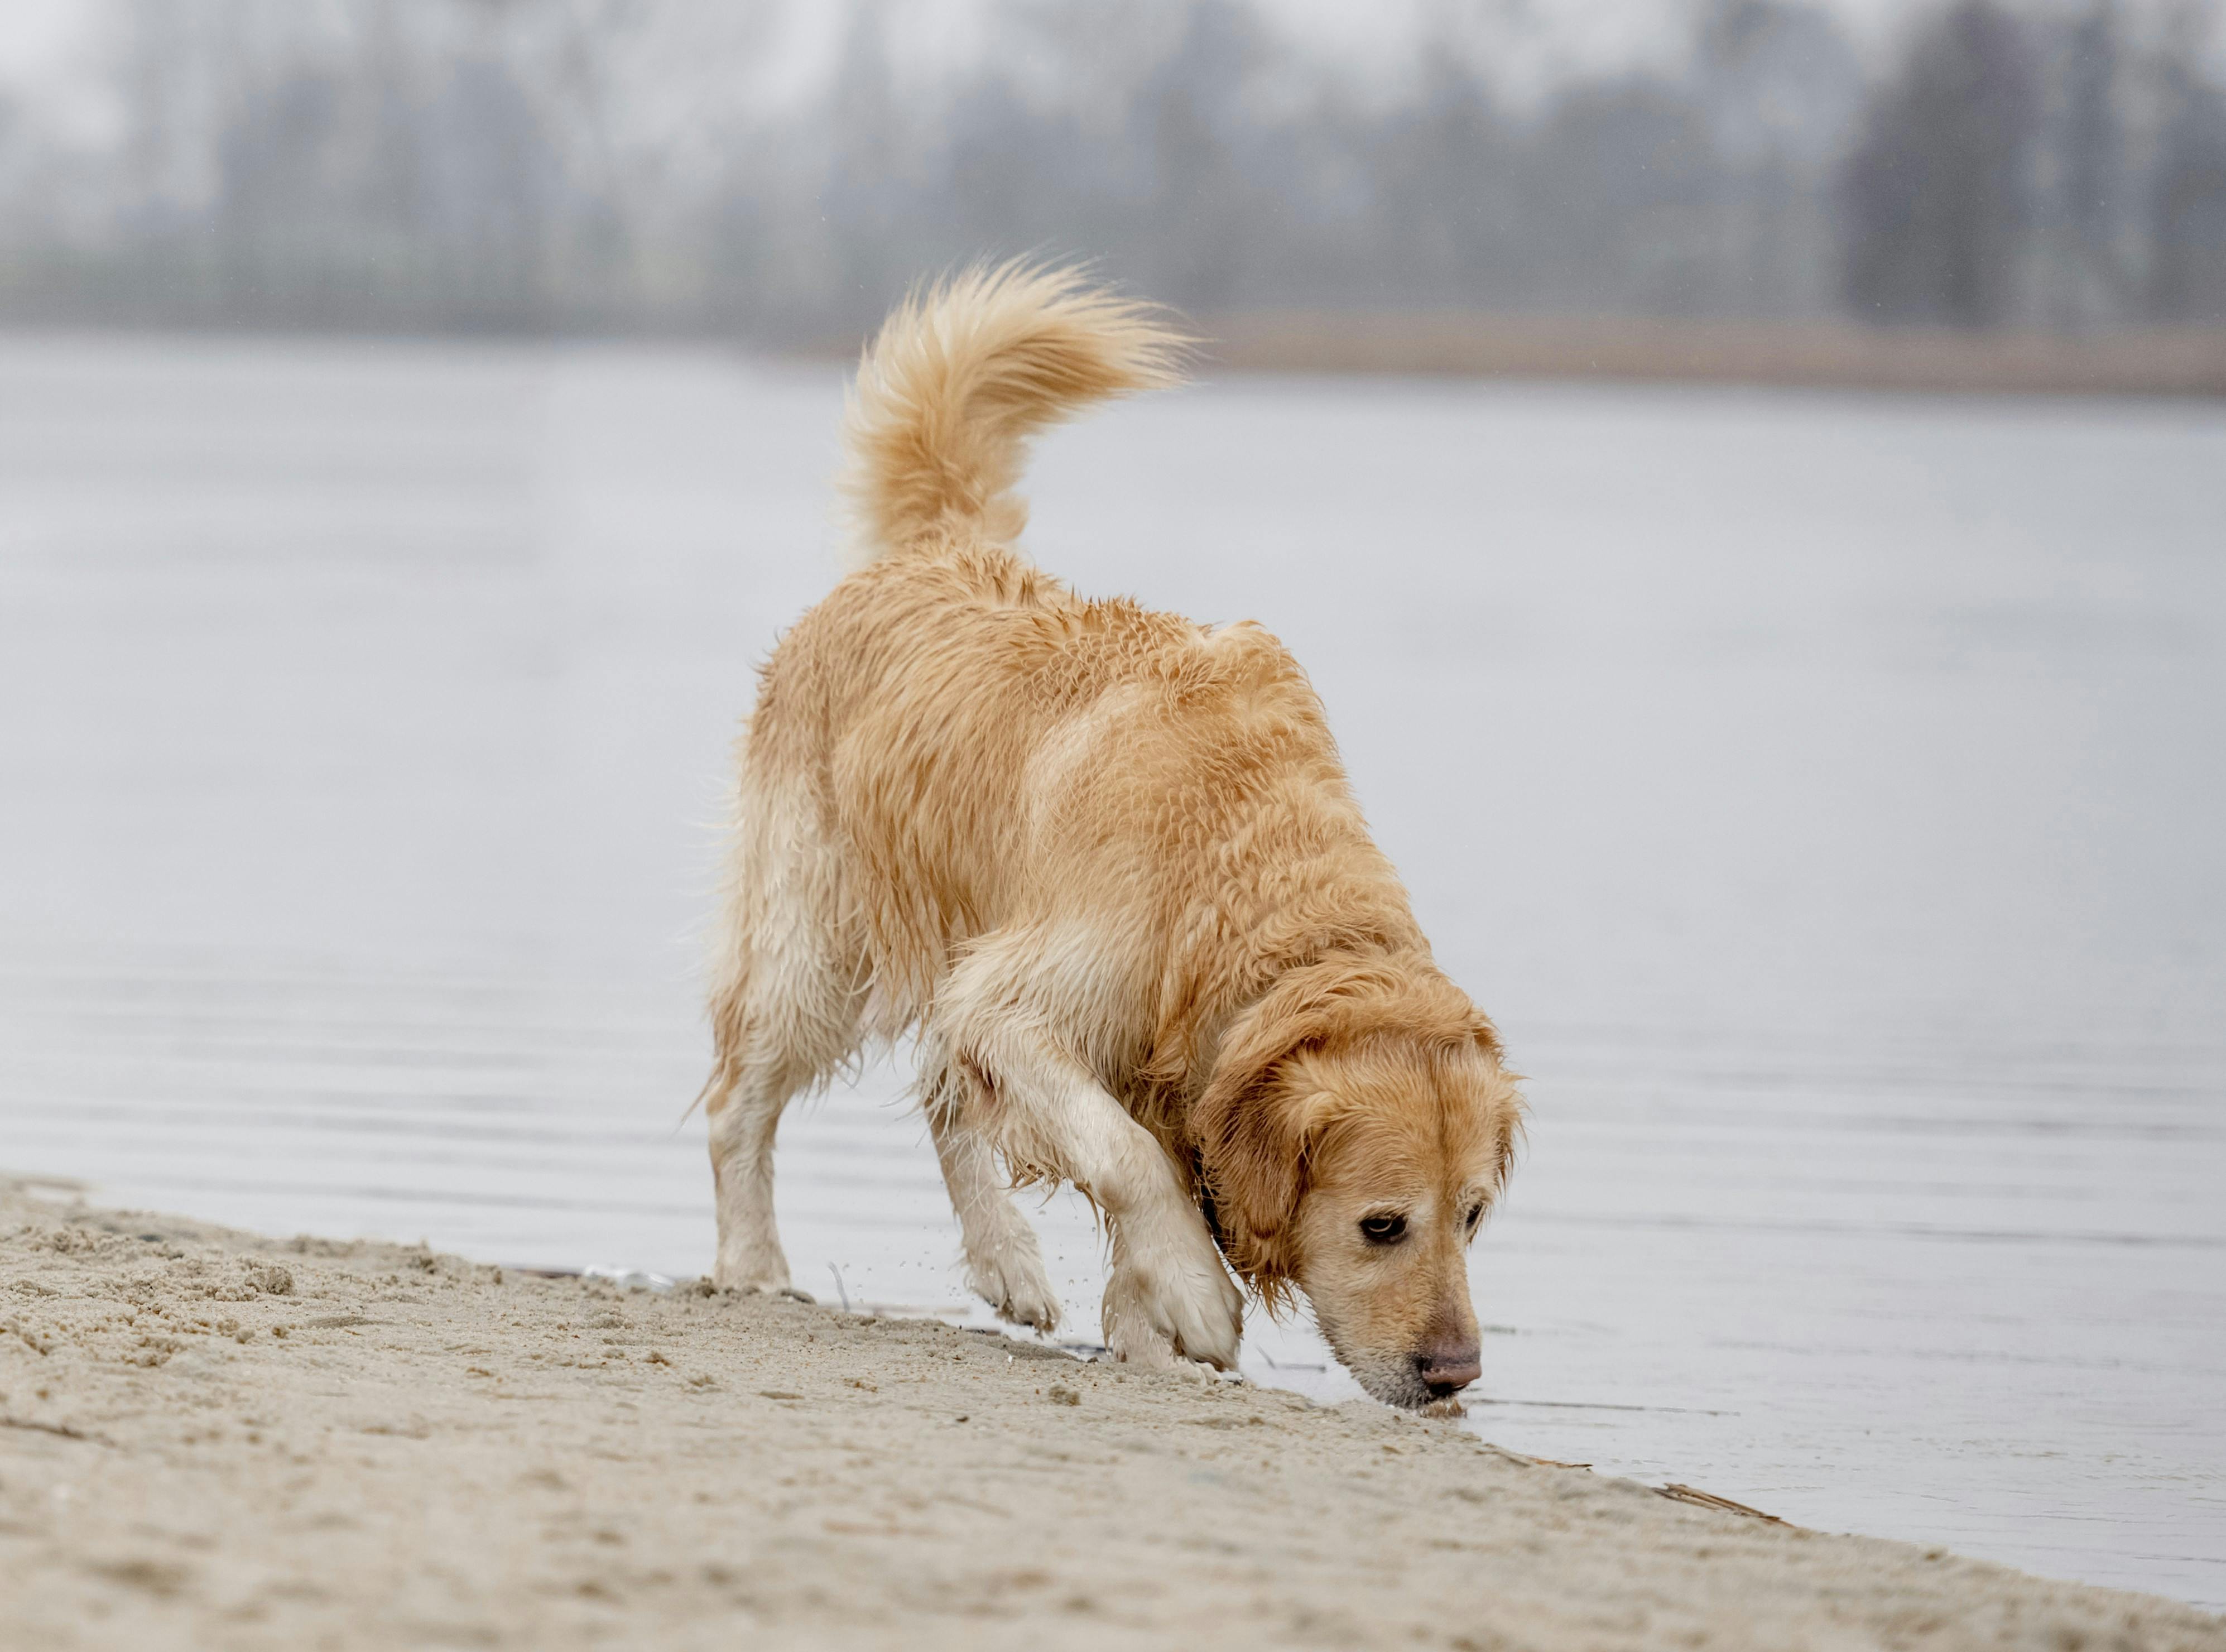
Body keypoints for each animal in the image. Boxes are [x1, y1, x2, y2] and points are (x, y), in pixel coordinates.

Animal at [703, 268, 1522, 1407]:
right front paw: (1196, 1298)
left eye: (1475, 1215)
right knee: (742, 1099)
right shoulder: (1023, 998)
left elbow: (1135, 1153)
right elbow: (1127, 1156)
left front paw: (1144, 1333)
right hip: (818, 935)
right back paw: (755, 1264)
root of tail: (935, 550)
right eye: (1381, 1225)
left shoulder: (1156, 1054)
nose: (1452, 1375)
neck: (1228, 864)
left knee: (943, 1089)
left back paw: (1005, 1262)